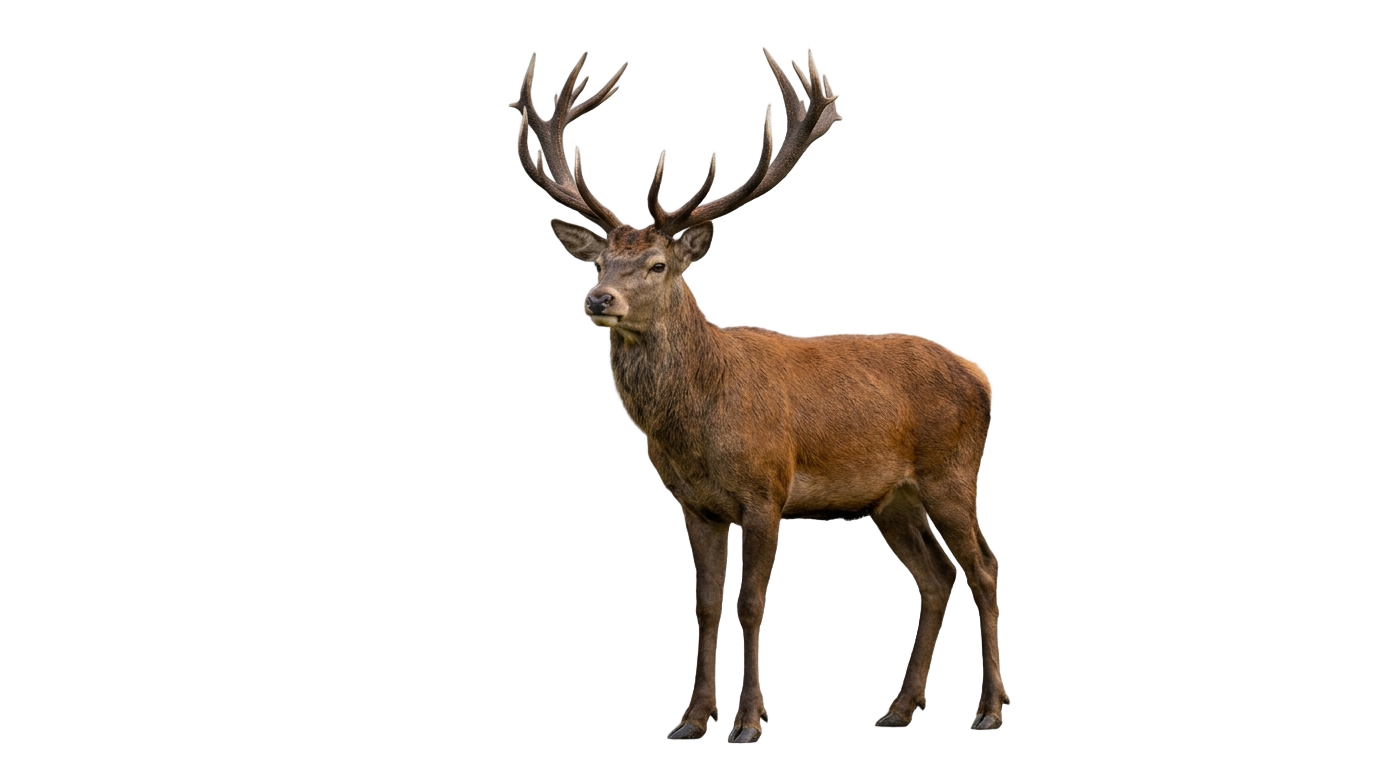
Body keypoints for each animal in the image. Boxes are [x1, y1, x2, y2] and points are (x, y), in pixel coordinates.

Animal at [509, 50, 1007, 743]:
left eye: (658, 265)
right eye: (599, 262)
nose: (599, 300)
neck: (697, 429)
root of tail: (983, 380)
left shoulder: (765, 490)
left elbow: (749, 604)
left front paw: (749, 721)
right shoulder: (694, 503)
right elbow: (704, 606)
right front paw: (692, 720)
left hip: (950, 471)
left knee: (984, 568)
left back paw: (989, 709)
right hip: (892, 499)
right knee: (936, 578)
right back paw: (898, 709)